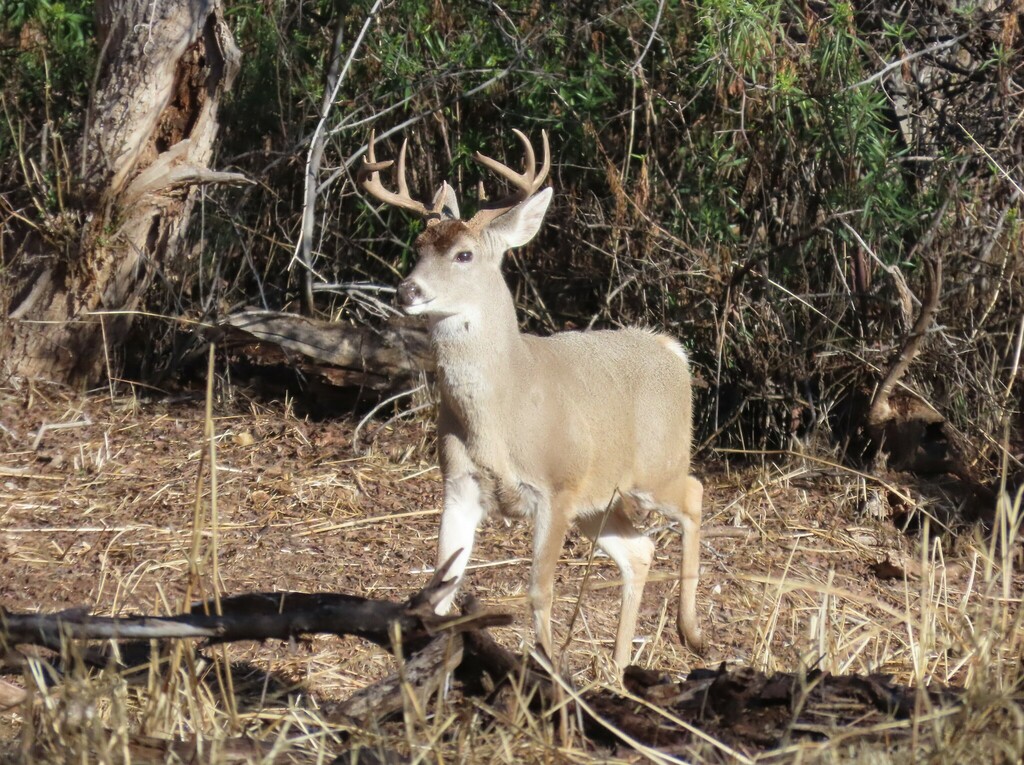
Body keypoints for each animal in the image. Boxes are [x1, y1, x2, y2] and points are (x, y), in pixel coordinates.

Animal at [358, 129, 704, 668]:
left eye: (464, 254)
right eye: (417, 248)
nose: (406, 290)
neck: (504, 412)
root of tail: (670, 349)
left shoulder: (556, 488)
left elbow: (539, 591)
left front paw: (551, 669)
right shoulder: (459, 484)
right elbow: (440, 590)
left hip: (654, 467)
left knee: (694, 495)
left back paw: (691, 632)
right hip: (600, 499)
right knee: (640, 551)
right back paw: (619, 666)